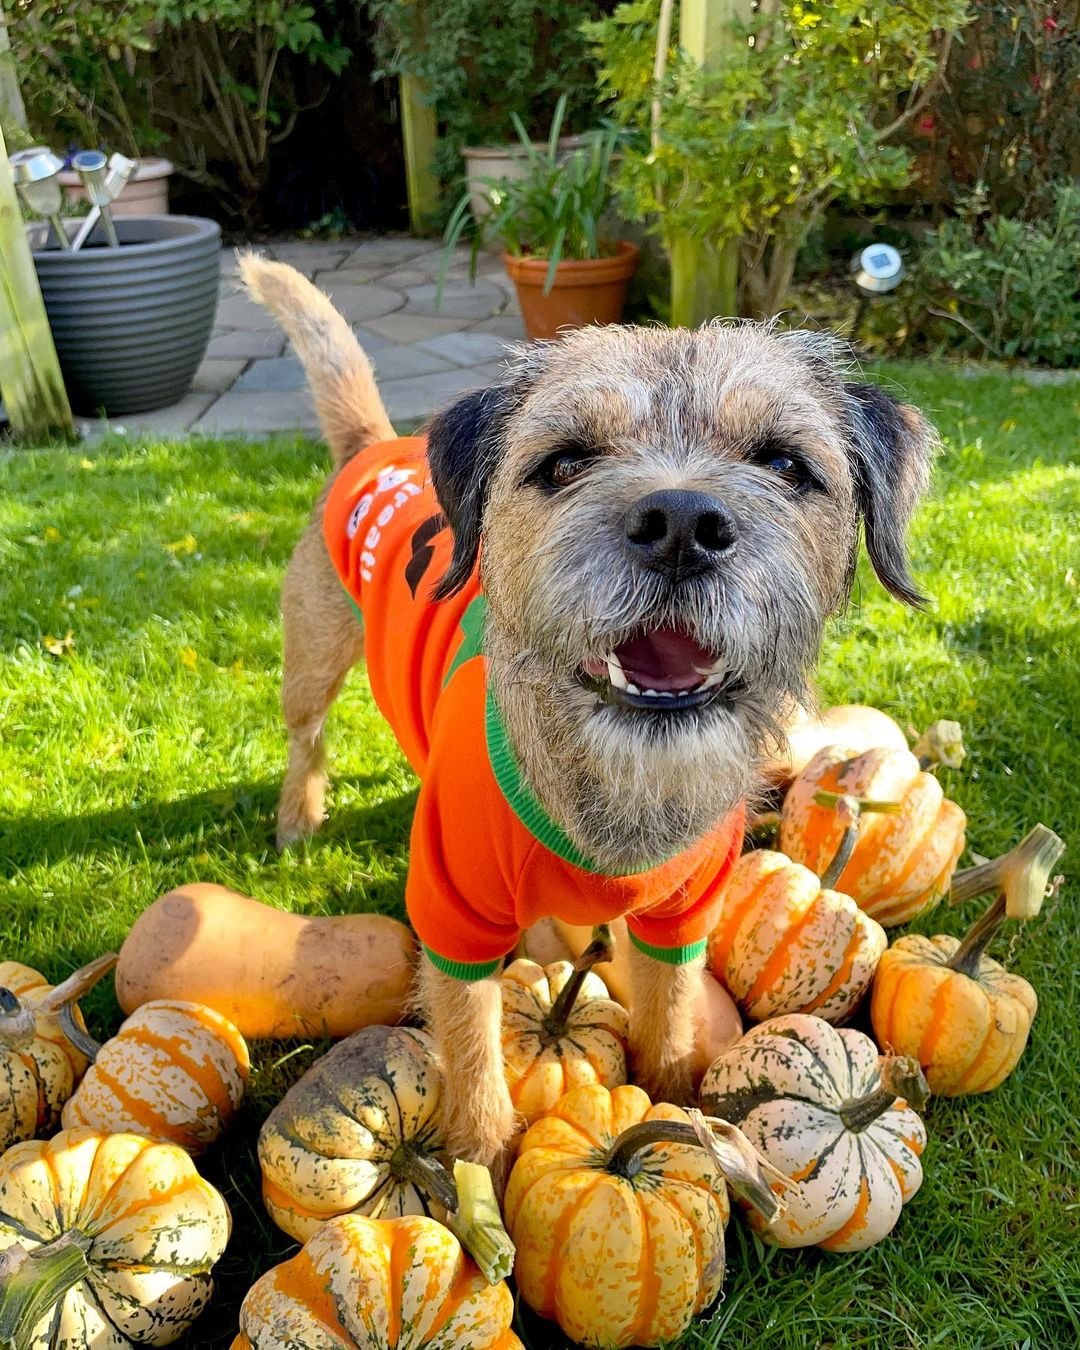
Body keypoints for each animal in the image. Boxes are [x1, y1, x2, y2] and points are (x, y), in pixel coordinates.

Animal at [241, 255, 934, 1171]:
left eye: (785, 465)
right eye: (566, 463)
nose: (682, 523)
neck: (618, 784)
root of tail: (377, 444)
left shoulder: (680, 919)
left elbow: (669, 1018)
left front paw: (678, 1111)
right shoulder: (456, 928)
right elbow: (476, 1065)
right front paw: (481, 1179)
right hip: (314, 659)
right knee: (306, 735)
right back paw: (298, 816)